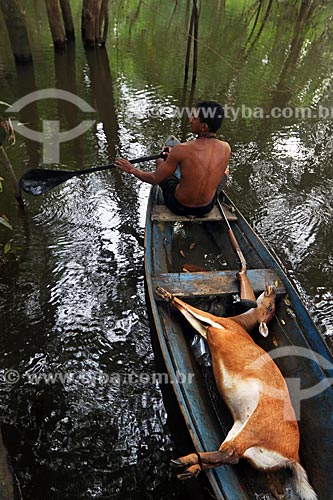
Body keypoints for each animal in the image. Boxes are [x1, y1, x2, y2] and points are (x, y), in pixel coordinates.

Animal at [156, 286, 316, 500]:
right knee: (230, 455)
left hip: (255, 426)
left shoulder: (220, 324)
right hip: (245, 437)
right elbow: (194, 320)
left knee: (229, 453)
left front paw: (166, 294)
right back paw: (190, 467)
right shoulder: (209, 331)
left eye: (271, 306)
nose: (272, 289)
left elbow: (192, 311)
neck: (240, 324)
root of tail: (293, 456)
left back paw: (186, 462)